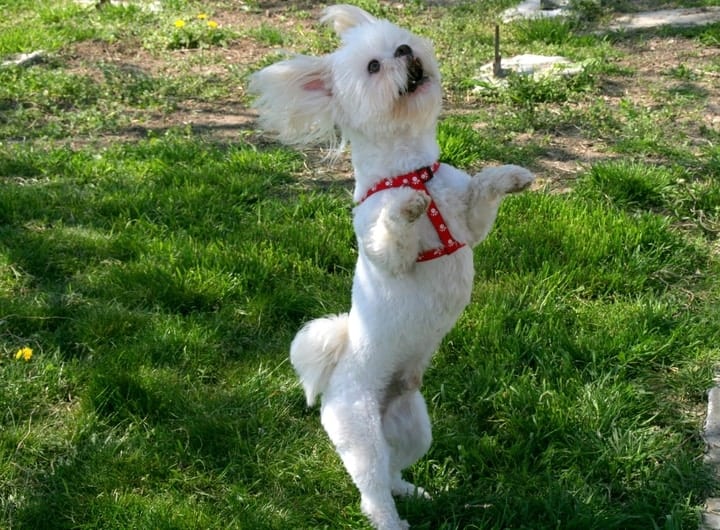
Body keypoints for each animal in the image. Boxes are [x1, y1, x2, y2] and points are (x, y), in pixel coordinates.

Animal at [249, 5, 536, 528]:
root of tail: (335, 381)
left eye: (400, 41)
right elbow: (392, 235)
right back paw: (390, 519)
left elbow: (481, 192)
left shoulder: (468, 223)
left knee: (393, 470)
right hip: (360, 437)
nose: (404, 51)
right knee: (371, 489)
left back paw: (413, 491)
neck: (415, 170)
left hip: (413, 427)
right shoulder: (388, 253)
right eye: (372, 67)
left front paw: (510, 176)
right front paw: (405, 206)